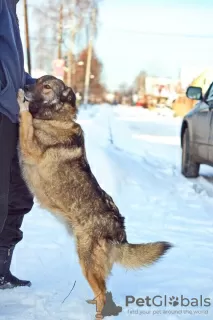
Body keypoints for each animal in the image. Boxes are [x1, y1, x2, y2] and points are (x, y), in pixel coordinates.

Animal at [17, 76, 172, 318]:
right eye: (38, 80)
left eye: (47, 87)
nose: (25, 86)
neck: (55, 117)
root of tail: (120, 233)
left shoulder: (30, 146)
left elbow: (25, 119)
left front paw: (21, 102)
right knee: (103, 288)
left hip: (86, 260)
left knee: (102, 293)